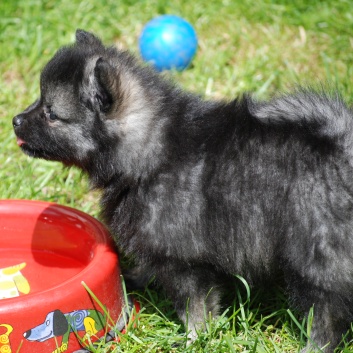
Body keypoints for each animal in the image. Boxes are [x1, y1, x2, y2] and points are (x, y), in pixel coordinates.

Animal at [12, 29, 352, 350]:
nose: (15, 120)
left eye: (51, 113)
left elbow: (194, 307)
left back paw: (314, 346)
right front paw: (138, 277)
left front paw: (193, 339)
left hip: (316, 256)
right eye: (39, 101)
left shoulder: (183, 259)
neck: (149, 148)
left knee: (326, 311)